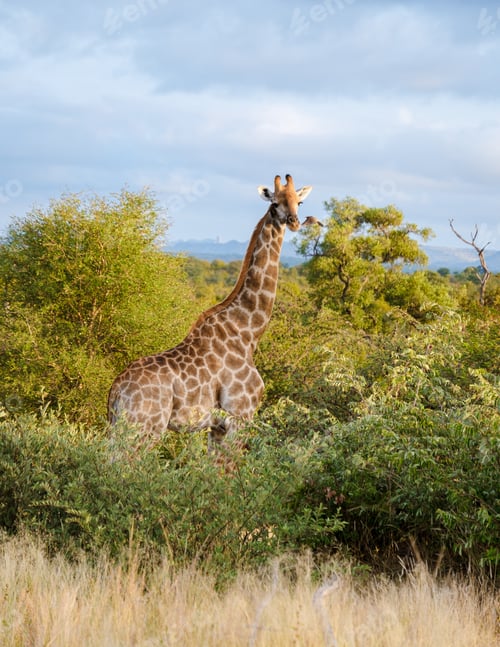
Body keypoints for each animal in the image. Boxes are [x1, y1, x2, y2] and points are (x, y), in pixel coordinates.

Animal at [107, 174, 312, 446]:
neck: (248, 332)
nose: (294, 222)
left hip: (121, 428)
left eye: (299, 203)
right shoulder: (240, 416)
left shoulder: (217, 427)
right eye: (274, 204)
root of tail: (116, 391)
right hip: (145, 428)